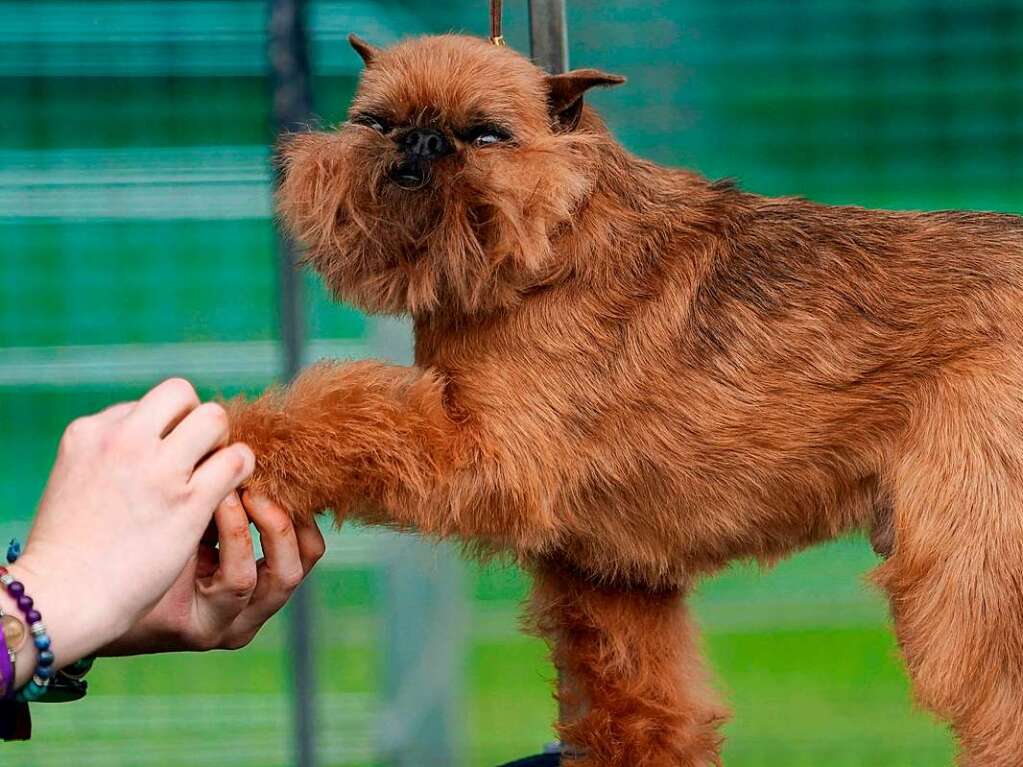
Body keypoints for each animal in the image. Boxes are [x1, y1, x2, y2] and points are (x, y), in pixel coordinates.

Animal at [228, 31, 1023, 767]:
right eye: (376, 122)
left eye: (486, 135)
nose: (421, 139)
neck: (558, 240)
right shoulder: (608, 573)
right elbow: (635, 707)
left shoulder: (487, 454)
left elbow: (354, 414)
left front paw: (241, 435)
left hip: (980, 562)